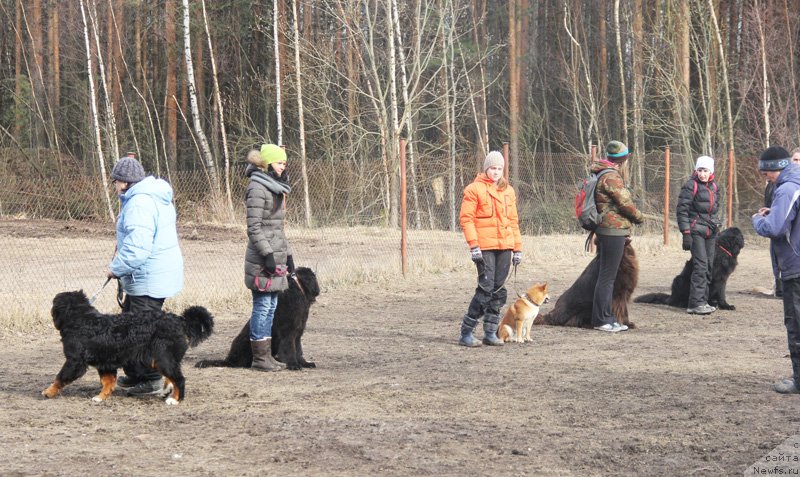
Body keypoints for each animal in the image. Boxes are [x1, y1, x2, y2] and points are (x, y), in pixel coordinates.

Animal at [42, 288, 212, 404]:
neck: (83, 321)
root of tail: (180, 320)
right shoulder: (106, 362)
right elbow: (108, 382)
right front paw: (101, 397)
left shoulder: (74, 361)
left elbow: (60, 378)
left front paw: (48, 392)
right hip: (159, 359)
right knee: (173, 376)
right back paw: (166, 391)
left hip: (162, 358)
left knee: (179, 379)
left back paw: (175, 400)